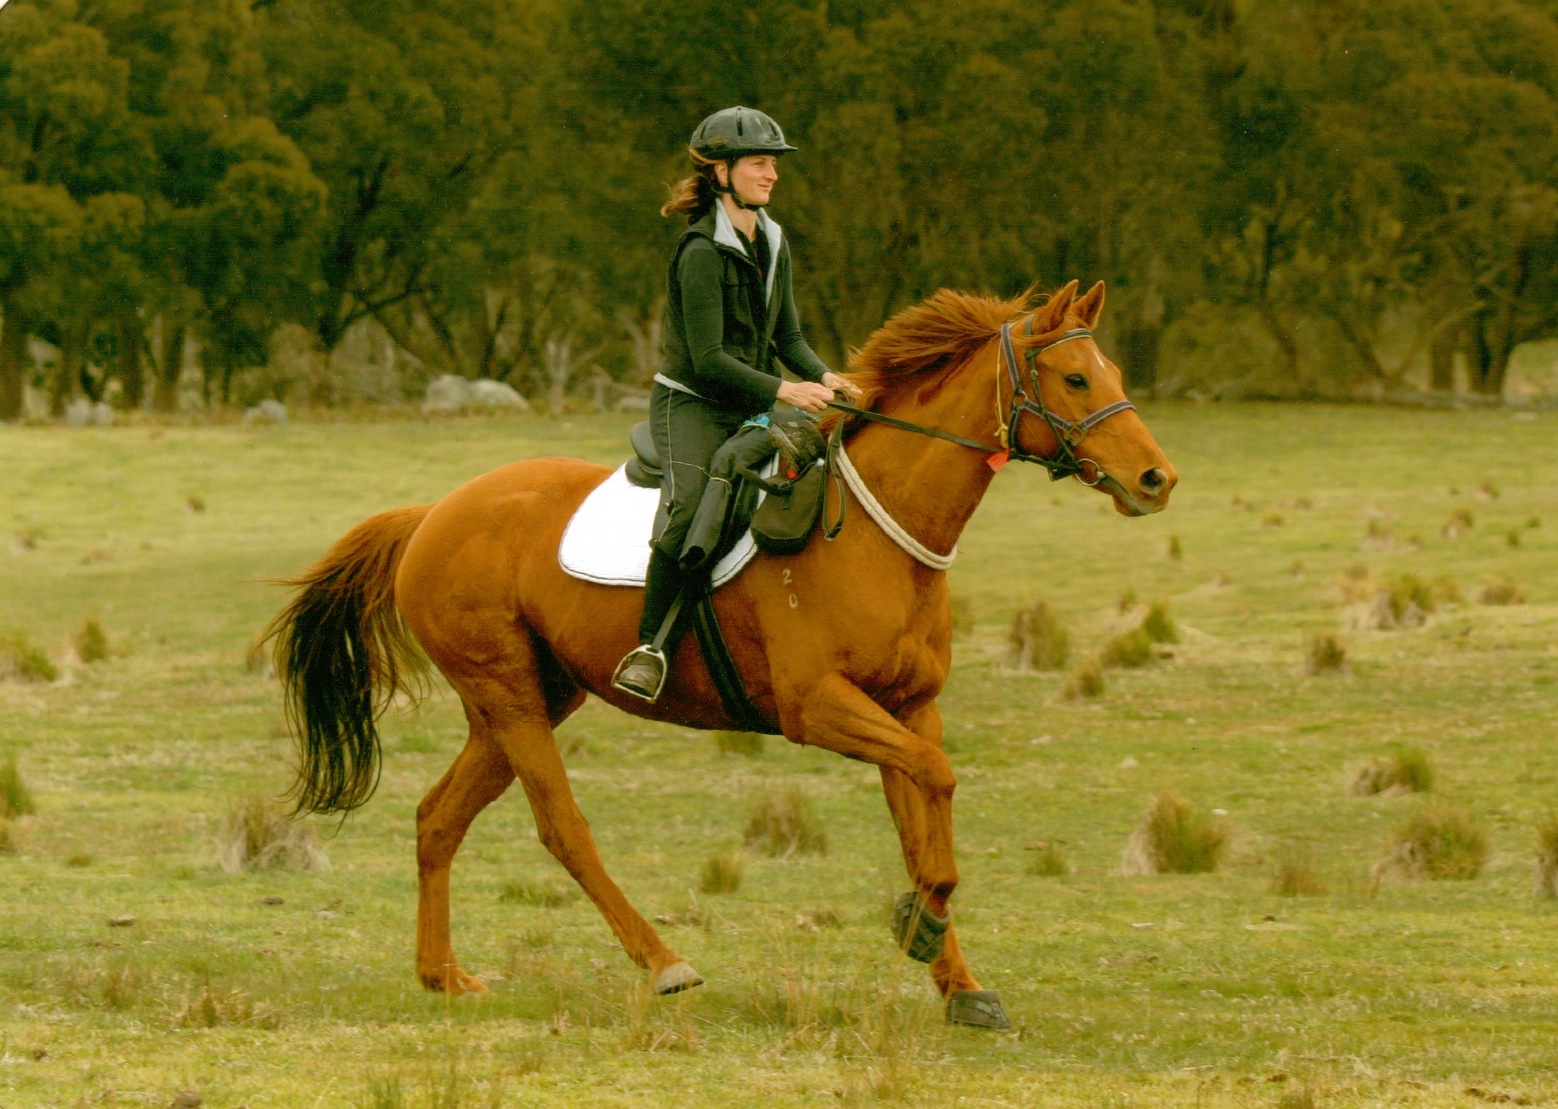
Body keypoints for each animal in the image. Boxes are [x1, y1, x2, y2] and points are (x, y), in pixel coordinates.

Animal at [265, 278, 1177, 1029]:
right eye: (1075, 379)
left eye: (1111, 369)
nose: (1157, 479)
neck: (878, 532)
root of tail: (432, 513)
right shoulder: (820, 708)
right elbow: (939, 787)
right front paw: (922, 923)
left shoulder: (907, 709)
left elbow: (924, 817)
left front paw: (955, 974)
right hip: (511, 697)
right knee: (562, 827)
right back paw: (663, 962)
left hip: (526, 698)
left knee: (437, 818)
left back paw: (443, 975)